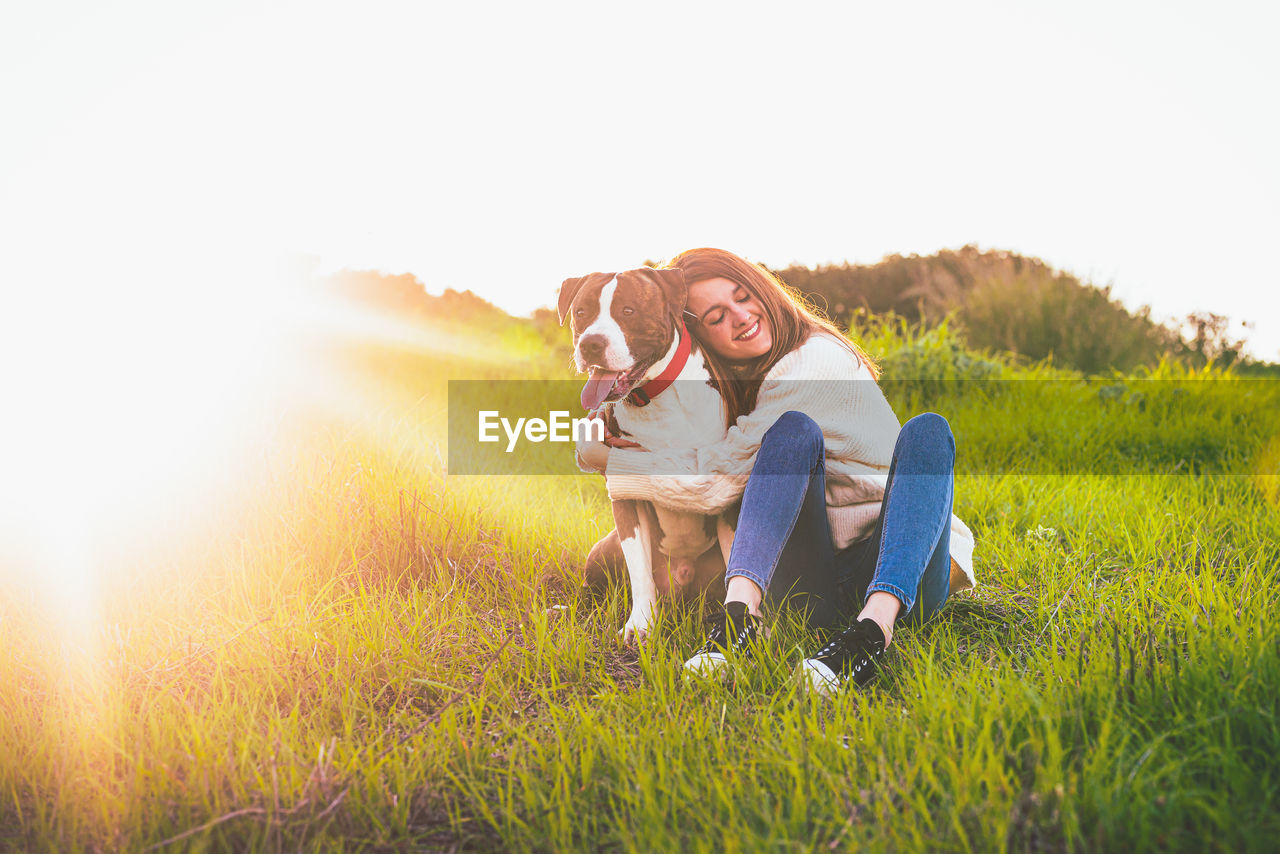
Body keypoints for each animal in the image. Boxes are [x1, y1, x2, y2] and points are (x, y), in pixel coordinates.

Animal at [558, 267, 737, 640]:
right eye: (581, 312)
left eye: (628, 311)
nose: (591, 343)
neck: (653, 398)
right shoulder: (625, 494)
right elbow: (639, 569)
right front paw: (640, 625)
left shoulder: (726, 494)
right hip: (604, 548)